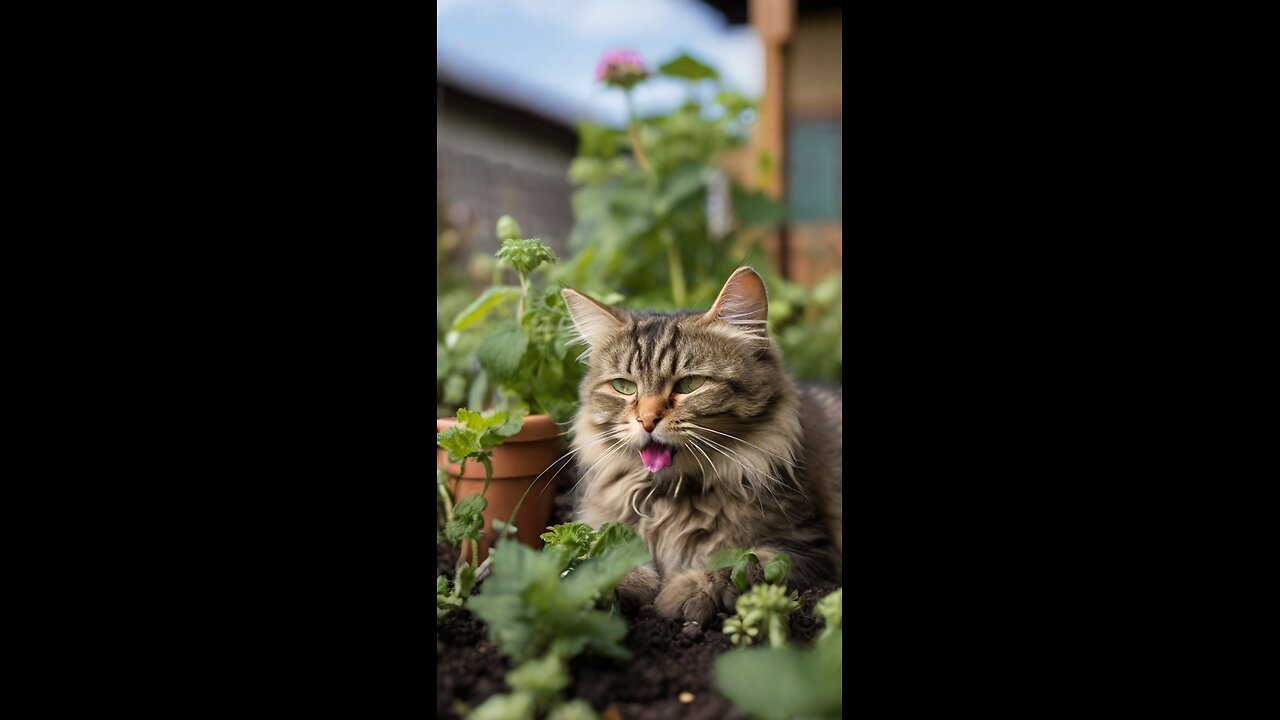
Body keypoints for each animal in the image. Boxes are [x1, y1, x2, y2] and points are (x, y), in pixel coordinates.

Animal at [560, 266, 839, 620]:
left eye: (690, 384)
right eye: (624, 387)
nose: (646, 420)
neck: (670, 497)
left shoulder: (803, 548)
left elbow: (737, 565)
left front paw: (681, 595)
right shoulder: (600, 528)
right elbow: (604, 560)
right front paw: (604, 592)